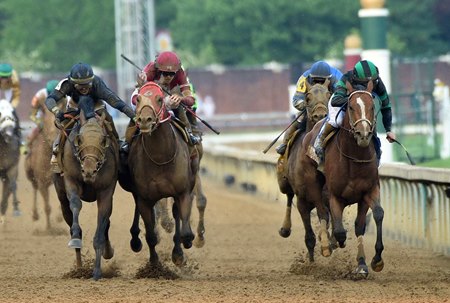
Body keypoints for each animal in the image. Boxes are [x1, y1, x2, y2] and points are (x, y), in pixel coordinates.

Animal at [24, 100, 61, 230]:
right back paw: (35, 215)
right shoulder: (42, 182)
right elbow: (47, 207)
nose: (53, 138)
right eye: (45, 116)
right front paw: (48, 228)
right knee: (34, 188)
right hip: (31, 176)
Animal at [52, 110, 118, 282]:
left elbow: (101, 226)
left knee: (107, 222)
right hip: (61, 197)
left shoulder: (106, 191)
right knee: (67, 210)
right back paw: (79, 268)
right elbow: (76, 203)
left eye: (103, 140)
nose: (89, 170)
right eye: (79, 139)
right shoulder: (71, 179)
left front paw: (97, 272)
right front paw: (75, 237)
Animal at [118, 81, 199, 268]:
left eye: (160, 98)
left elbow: (185, 232)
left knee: (177, 215)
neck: (160, 157)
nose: (144, 120)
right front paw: (154, 265)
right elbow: (151, 236)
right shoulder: (145, 199)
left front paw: (182, 248)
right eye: (138, 98)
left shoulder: (182, 192)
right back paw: (135, 240)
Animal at [274, 80, 330, 262]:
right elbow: (309, 237)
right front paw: (311, 262)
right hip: (286, 184)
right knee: (289, 197)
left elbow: (326, 217)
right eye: (307, 97)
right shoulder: (303, 201)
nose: (320, 115)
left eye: (329, 94)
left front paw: (328, 241)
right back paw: (285, 228)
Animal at [298, 81, 384, 278]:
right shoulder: (334, 196)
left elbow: (372, 217)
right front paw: (334, 242)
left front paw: (369, 262)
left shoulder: (368, 191)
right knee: (322, 212)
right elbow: (339, 230)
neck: (354, 158)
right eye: (351, 107)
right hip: (313, 184)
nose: (363, 134)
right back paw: (326, 245)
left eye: (372, 106)